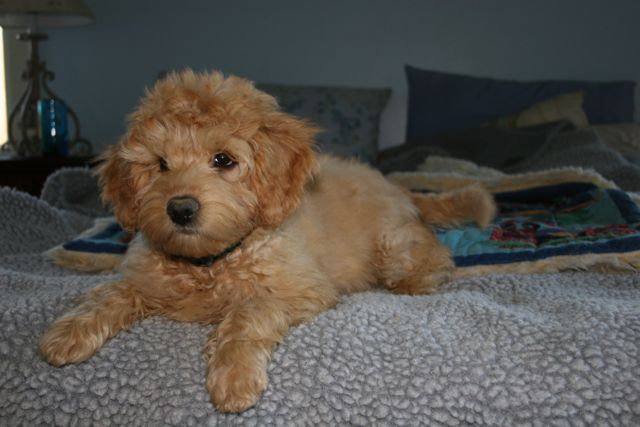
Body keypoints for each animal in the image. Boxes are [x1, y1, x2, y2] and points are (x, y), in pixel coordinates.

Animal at [38, 71, 496, 414]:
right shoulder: (143, 277)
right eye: (161, 164)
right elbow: (110, 293)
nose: (180, 209)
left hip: (393, 244)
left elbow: (249, 311)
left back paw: (421, 276)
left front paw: (234, 375)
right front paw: (68, 332)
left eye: (223, 160)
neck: (210, 263)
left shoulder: (301, 289)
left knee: (431, 252)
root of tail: (395, 186)